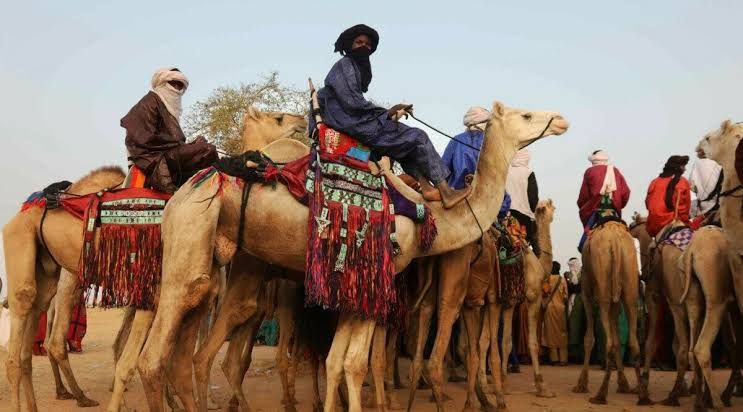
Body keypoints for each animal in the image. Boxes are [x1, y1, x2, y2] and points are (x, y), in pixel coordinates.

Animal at [1, 108, 307, 412]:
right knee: (34, 332)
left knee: (35, 333)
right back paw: (73, 395)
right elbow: (139, 360)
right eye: (278, 118)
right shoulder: (158, 292)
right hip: (33, 254)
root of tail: (34, 203)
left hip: (50, 271)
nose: (302, 121)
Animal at [136, 101, 569, 412]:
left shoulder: (352, 290)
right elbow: (354, 364)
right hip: (192, 240)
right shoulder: (378, 281)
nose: (561, 119)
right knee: (154, 359)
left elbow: (335, 361)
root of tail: (181, 194)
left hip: (216, 256)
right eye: (526, 114)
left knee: (189, 355)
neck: (429, 218)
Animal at [572, 219, 643, 405]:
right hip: (629, 274)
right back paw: (642, 394)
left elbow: (589, 338)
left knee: (608, 343)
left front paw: (581, 384)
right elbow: (618, 338)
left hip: (602, 278)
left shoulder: (587, 291)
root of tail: (616, 241)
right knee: (633, 340)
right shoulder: (615, 300)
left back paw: (600, 395)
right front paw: (623, 383)